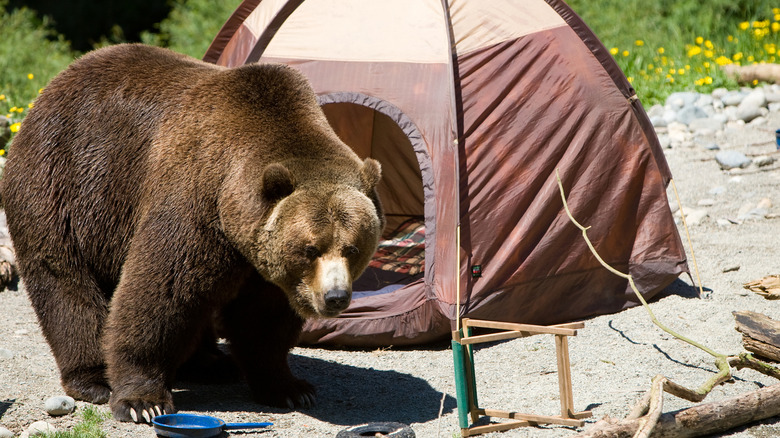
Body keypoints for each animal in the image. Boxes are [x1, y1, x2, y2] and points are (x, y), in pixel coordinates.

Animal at [1, 44, 384, 423]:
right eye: (310, 249)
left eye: (352, 248)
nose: (335, 297)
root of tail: (53, 86)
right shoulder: (197, 202)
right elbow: (162, 291)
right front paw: (142, 401)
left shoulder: (261, 261)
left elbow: (263, 319)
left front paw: (289, 387)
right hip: (65, 185)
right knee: (65, 282)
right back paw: (94, 378)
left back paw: (211, 363)